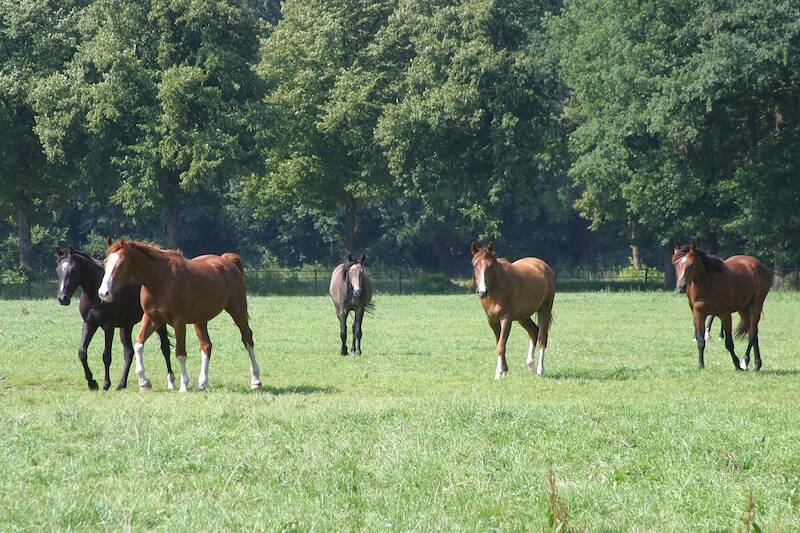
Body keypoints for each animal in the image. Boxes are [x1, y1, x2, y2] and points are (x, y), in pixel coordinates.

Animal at [56, 247, 173, 390]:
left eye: (73, 270)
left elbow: (106, 356)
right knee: (129, 352)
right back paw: (121, 384)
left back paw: (171, 382)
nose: (63, 298)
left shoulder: (108, 326)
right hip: (126, 326)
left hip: (157, 321)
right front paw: (92, 382)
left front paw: (106, 384)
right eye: (58, 270)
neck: (95, 293)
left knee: (165, 348)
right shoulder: (89, 324)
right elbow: (82, 352)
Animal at [98, 238, 261, 392]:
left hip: (237, 311)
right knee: (206, 345)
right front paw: (144, 382)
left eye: (121, 264)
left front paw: (183, 385)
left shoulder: (178, 321)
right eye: (105, 263)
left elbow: (180, 352)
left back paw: (256, 380)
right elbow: (138, 343)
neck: (160, 280)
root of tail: (228, 262)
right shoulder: (152, 318)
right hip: (200, 320)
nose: (103, 293)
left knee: (247, 338)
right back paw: (202, 383)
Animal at [470, 242, 556, 379]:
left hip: (545, 309)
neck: (497, 288)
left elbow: (501, 345)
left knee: (543, 336)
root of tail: (544, 266)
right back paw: (531, 365)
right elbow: (499, 343)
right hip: (523, 316)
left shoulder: (506, 319)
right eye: (474, 265)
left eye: (490, 265)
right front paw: (504, 370)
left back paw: (539, 370)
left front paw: (498, 374)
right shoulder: (492, 320)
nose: (482, 292)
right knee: (534, 331)